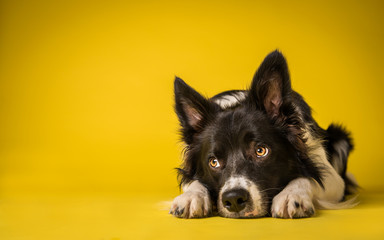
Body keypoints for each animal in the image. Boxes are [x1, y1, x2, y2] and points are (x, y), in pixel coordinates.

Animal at [168, 50, 356, 219]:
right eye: (213, 162)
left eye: (261, 151)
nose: (234, 200)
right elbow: (194, 181)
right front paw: (191, 197)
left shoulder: (333, 179)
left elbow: (309, 178)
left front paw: (291, 196)